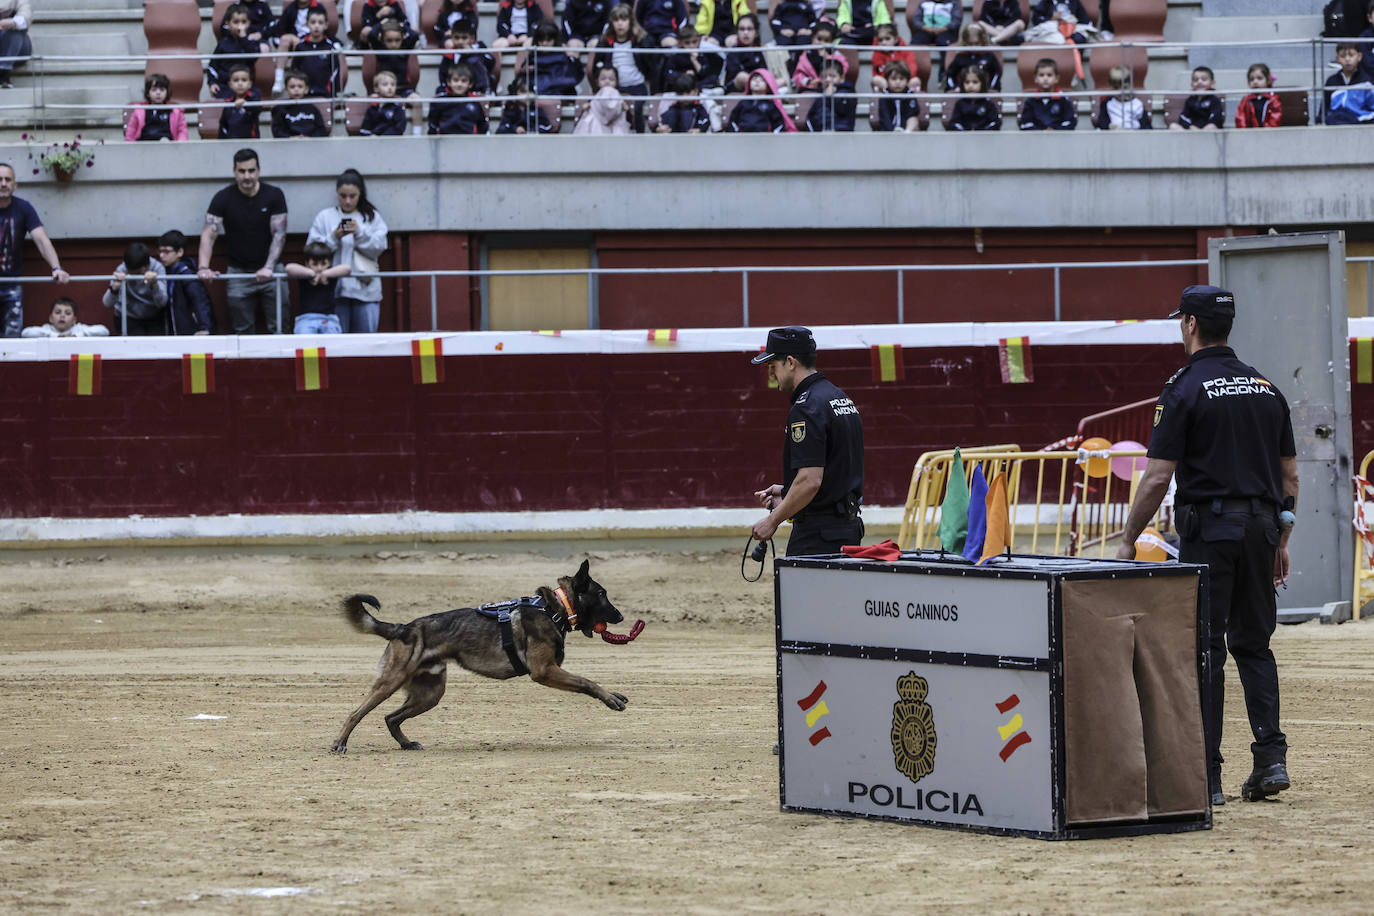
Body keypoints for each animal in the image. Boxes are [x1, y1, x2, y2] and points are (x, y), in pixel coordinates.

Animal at [329, 554, 629, 758]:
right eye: (602, 594)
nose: (621, 617)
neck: (554, 608)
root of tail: (404, 628)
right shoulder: (545, 671)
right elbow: (586, 681)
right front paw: (610, 698)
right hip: (390, 682)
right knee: (356, 713)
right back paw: (339, 743)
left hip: (430, 694)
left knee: (390, 718)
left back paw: (406, 743)